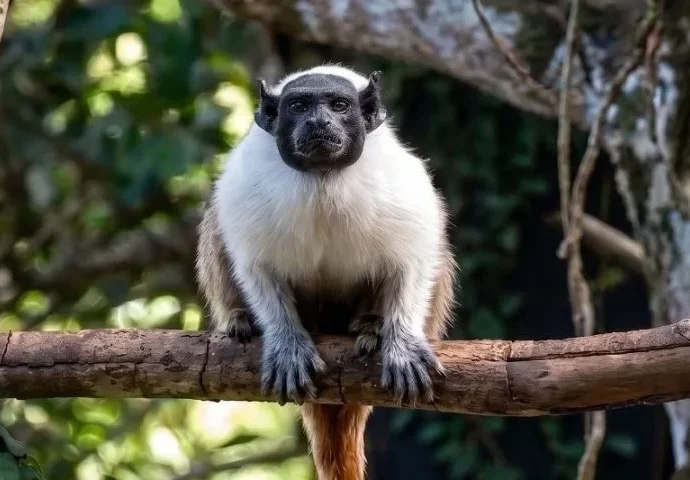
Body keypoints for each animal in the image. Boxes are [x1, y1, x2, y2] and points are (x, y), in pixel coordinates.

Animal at [195, 65, 457, 480]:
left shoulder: (401, 182)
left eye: (338, 106)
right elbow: (255, 266)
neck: (322, 178)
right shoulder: (245, 184)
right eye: (300, 107)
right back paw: (239, 319)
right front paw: (287, 343)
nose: (319, 121)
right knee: (215, 224)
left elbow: (414, 256)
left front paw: (401, 343)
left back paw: (371, 325)